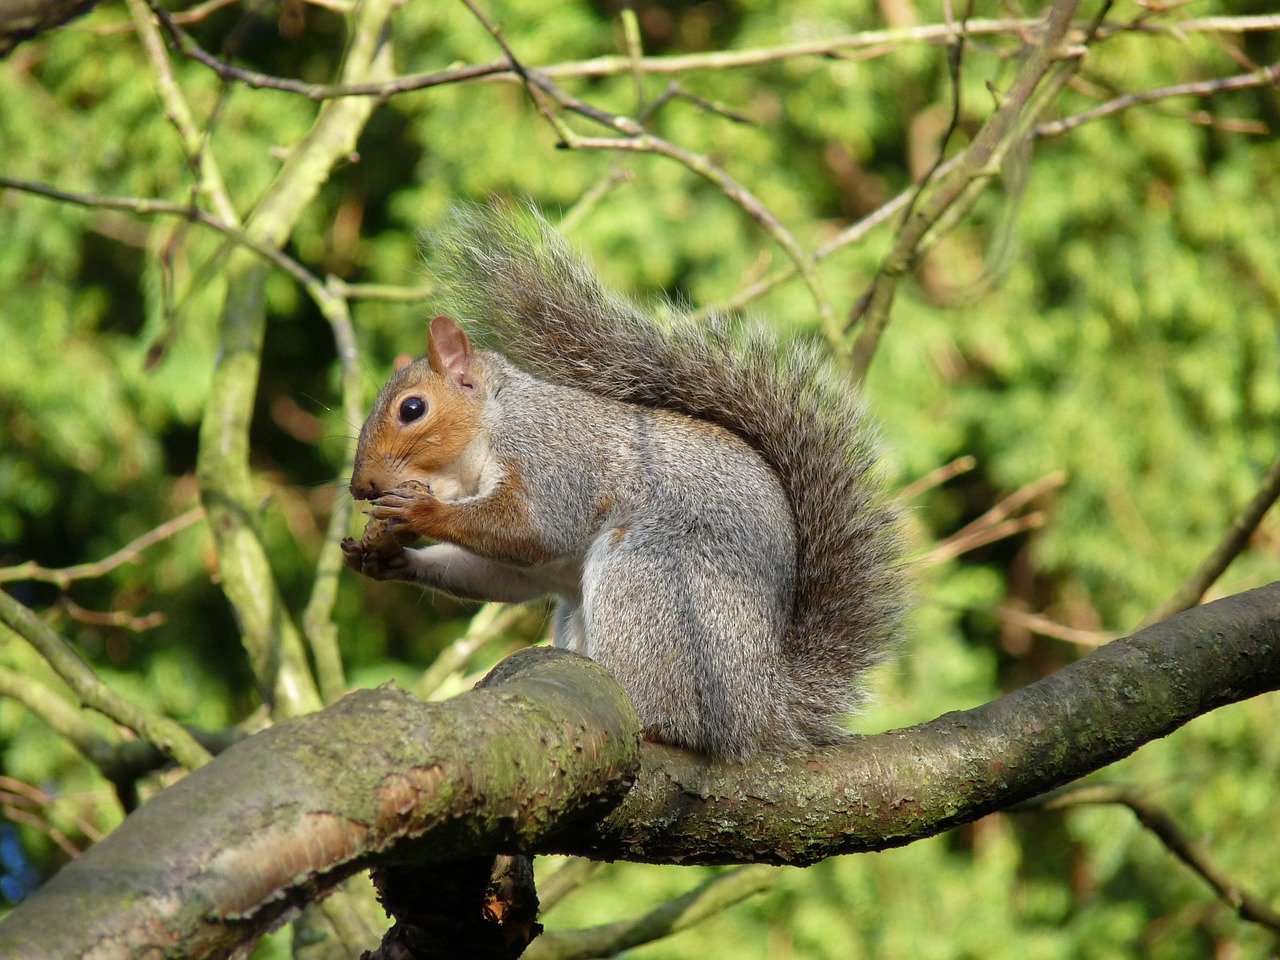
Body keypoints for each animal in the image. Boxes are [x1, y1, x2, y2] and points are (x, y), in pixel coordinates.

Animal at [337, 203, 901, 757]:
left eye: (412, 409)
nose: (362, 487)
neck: (492, 427)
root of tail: (756, 712)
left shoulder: (554, 458)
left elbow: (534, 530)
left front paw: (421, 512)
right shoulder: (539, 567)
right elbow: (508, 576)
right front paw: (385, 557)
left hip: (648, 579)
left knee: (672, 713)